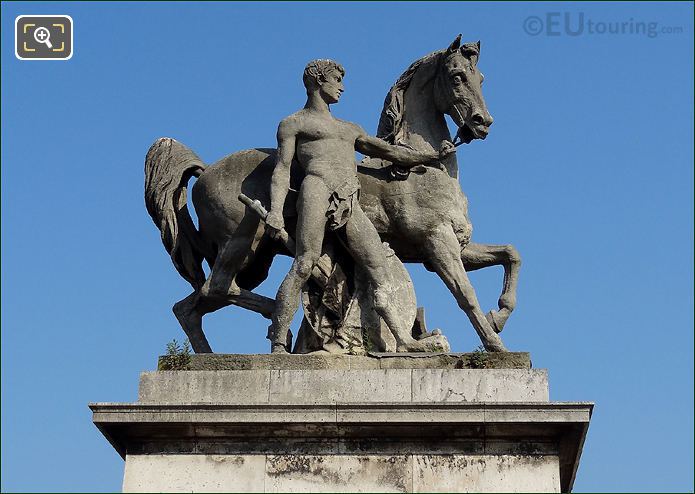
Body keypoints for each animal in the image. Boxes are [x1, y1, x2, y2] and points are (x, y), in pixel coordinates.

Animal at [144, 34, 520, 354]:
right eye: (457, 77)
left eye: (481, 78)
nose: (482, 122)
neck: (421, 173)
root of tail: (206, 170)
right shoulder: (436, 243)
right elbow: (465, 294)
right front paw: (496, 345)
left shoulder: (455, 246)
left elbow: (510, 254)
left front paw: (499, 316)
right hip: (244, 247)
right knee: (216, 287)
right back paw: (278, 324)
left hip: (255, 259)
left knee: (190, 305)